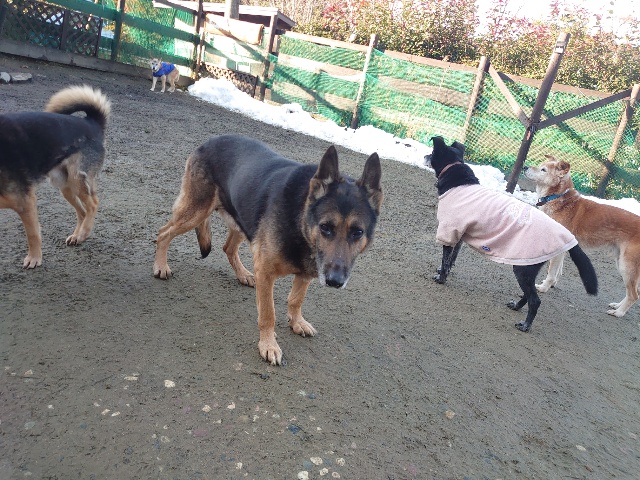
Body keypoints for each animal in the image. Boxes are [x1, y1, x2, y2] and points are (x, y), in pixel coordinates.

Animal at [0, 85, 111, 268]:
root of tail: (91, 122)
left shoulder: (25, 202)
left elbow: (33, 234)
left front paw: (34, 258)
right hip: (65, 185)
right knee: (82, 211)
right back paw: (77, 236)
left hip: (77, 180)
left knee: (93, 204)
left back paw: (84, 233)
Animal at [153, 134, 383, 365]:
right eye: (325, 227)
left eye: (357, 232)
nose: (334, 282)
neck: (300, 220)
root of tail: (210, 141)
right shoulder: (265, 272)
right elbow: (268, 313)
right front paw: (268, 345)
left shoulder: (305, 273)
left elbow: (296, 299)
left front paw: (296, 322)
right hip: (196, 212)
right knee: (163, 233)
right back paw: (161, 266)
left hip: (244, 221)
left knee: (228, 248)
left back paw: (243, 274)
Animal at [425, 136, 597, 332]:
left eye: (432, 152)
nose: (424, 156)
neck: (459, 181)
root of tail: (565, 234)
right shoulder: (458, 235)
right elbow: (451, 259)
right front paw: (443, 272)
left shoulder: (449, 231)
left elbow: (445, 259)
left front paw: (440, 278)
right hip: (530, 267)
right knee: (529, 295)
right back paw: (516, 306)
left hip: (522, 269)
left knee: (535, 300)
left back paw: (525, 325)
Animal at [525, 156, 640, 317]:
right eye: (541, 165)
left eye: (543, 170)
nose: (525, 167)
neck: (558, 198)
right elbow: (557, 272)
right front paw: (551, 285)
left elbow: (551, 272)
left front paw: (543, 288)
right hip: (622, 263)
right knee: (633, 292)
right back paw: (617, 306)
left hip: (627, 266)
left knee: (634, 295)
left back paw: (619, 313)